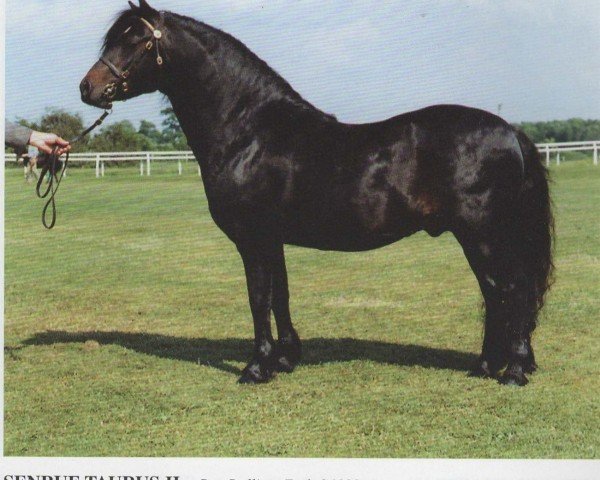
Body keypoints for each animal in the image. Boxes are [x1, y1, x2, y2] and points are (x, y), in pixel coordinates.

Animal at [79, 0, 552, 386]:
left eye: (135, 39)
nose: (87, 88)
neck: (249, 131)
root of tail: (510, 132)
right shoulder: (272, 240)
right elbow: (280, 296)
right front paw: (287, 358)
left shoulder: (253, 238)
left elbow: (258, 298)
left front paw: (256, 367)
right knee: (497, 294)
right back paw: (487, 366)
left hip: (483, 234)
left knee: (511, 291)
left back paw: (512, 371)